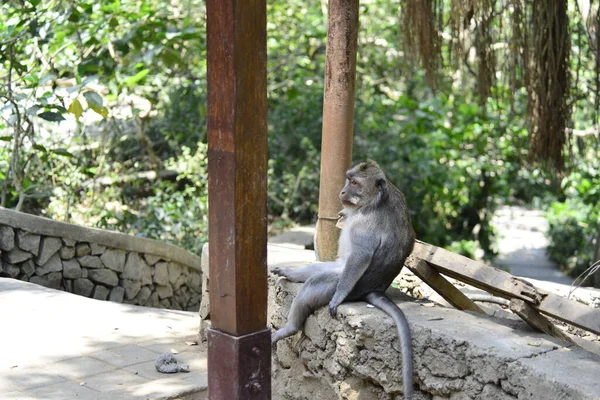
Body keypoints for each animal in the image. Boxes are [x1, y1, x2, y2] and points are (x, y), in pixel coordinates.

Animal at [270, 160, 414, 400]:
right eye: (348, 180)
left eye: (355, 183)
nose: (343, 191)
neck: (369, 203)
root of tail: (375, 288)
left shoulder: (367, 224)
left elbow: (361, 256)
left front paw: (337, 298)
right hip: (339, 268)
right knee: (319, 269)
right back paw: (292, 274)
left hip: (346, 283)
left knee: (315, 284)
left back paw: (290, 328)